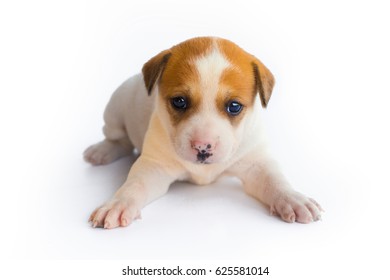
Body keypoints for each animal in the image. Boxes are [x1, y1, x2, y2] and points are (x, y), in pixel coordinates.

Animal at [84, 36, 322, 229]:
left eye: (234, 106)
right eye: (179, 101)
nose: (202, 147)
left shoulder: (256, 164)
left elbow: (274, 180)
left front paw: (293, 199)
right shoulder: (153, 167)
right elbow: (135, 185)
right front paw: (118, 204)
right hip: (116, 106)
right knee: (119, 140)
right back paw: (101, 151)